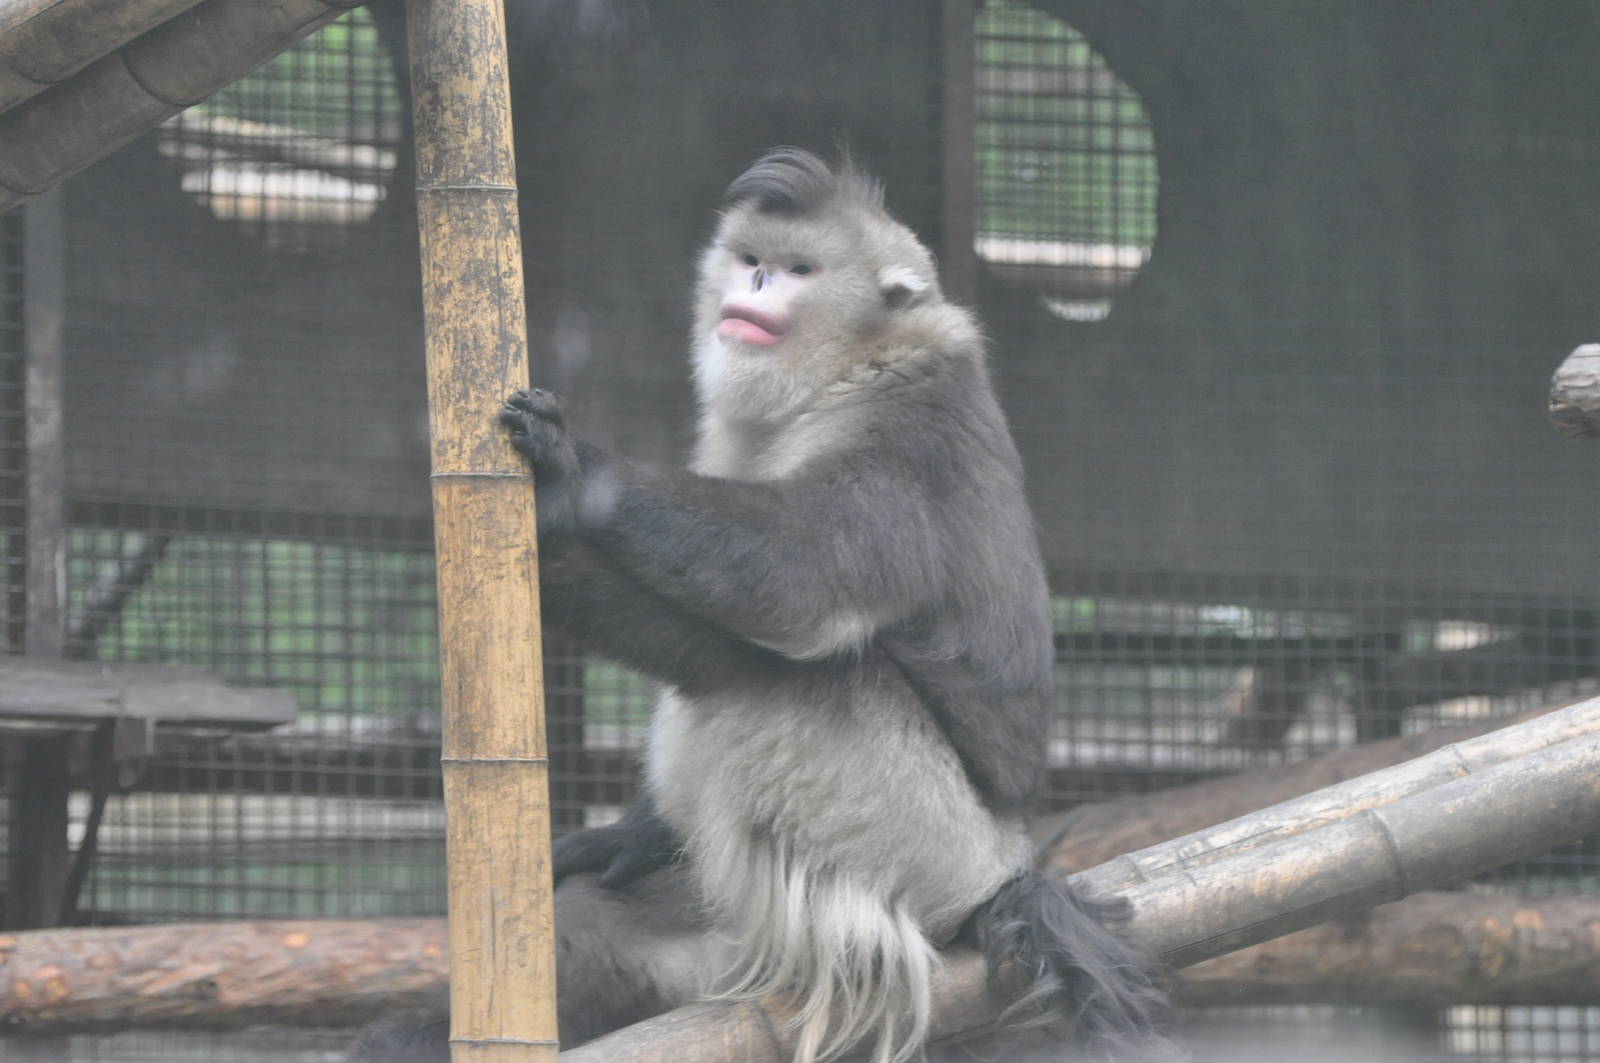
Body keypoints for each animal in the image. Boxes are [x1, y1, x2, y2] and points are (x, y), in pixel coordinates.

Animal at [351, 148, 1167, 1063]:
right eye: (751, 258)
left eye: (800, 270)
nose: (761, 282)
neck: (843, 367)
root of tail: (1010, 870)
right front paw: (621, 833)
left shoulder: (913, 430)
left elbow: (794, 581)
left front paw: (571, 476)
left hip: (926, 849)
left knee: (788, 674)